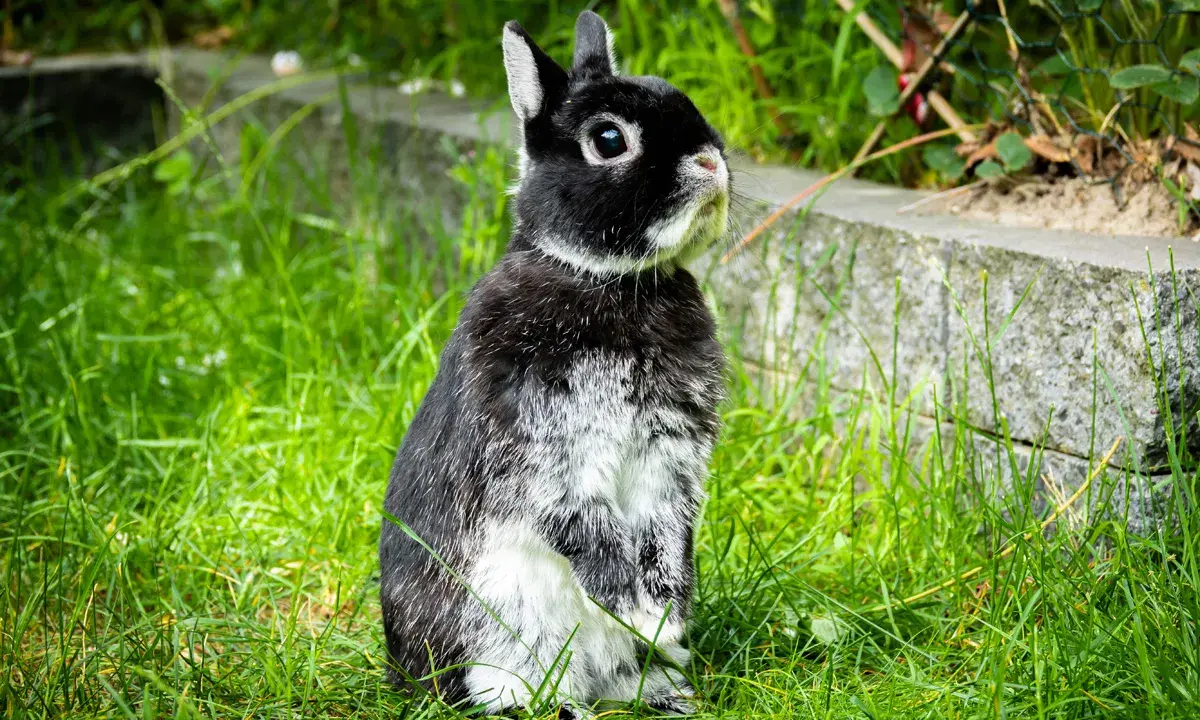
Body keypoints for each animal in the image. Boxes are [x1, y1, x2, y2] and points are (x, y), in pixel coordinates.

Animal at [379, 10, 729, 717]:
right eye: (608, 139)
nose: (712, 163)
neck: (608, 283)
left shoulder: (671, 461)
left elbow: (667, 540)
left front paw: (667, 618)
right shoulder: (547, 455)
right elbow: (589, 534)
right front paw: (643, 613)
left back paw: (666, 693)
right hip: (504, 628)